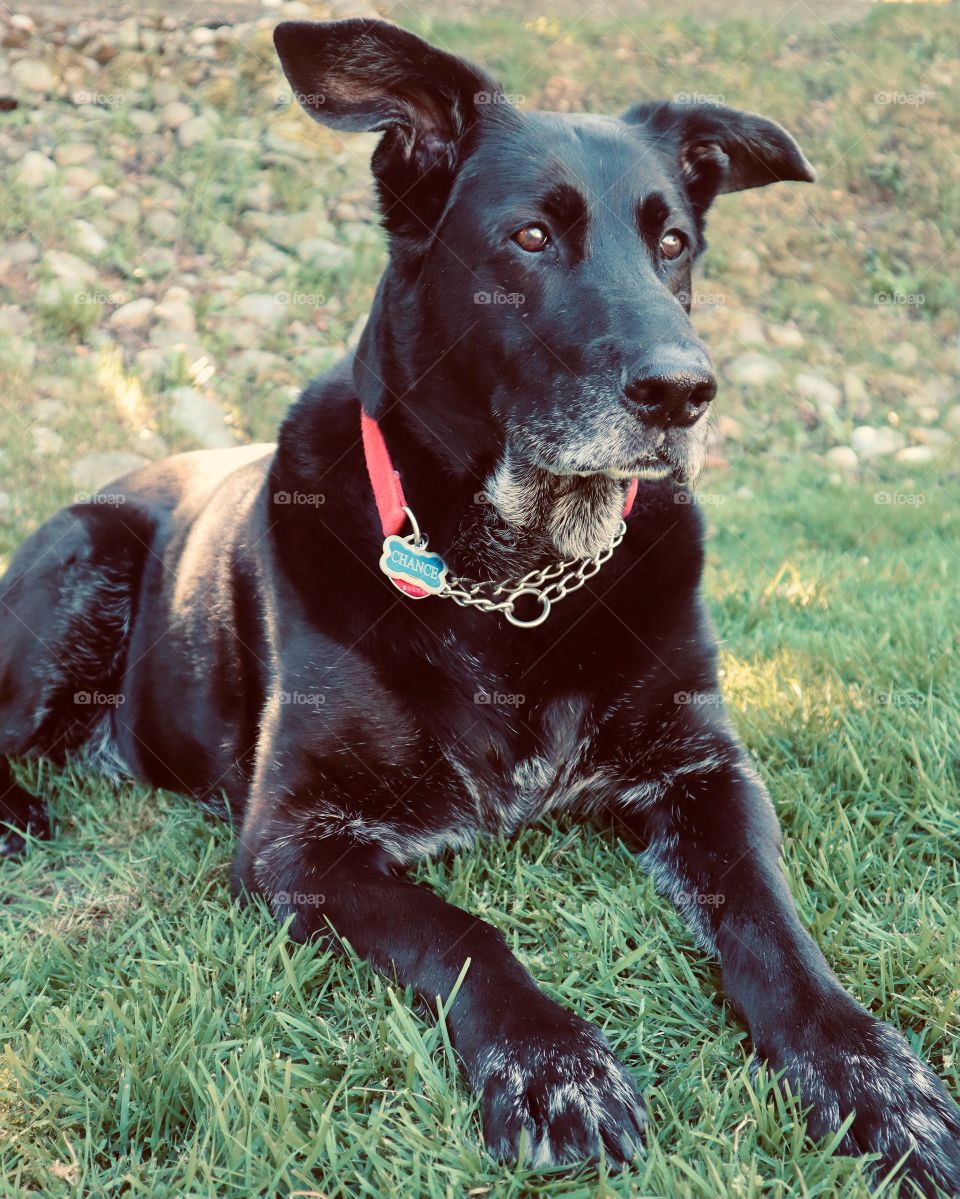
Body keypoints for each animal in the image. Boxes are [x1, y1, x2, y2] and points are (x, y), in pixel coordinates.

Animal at [1, 18, 958, 1189]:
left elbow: (774, 925)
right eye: (532, 236)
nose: (686, 393)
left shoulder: (707, 772)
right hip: (85, 553)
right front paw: (555, 1066)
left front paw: (872, 1076)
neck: (516, 579)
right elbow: (466, 933)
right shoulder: (294, 842)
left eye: (674, 243)